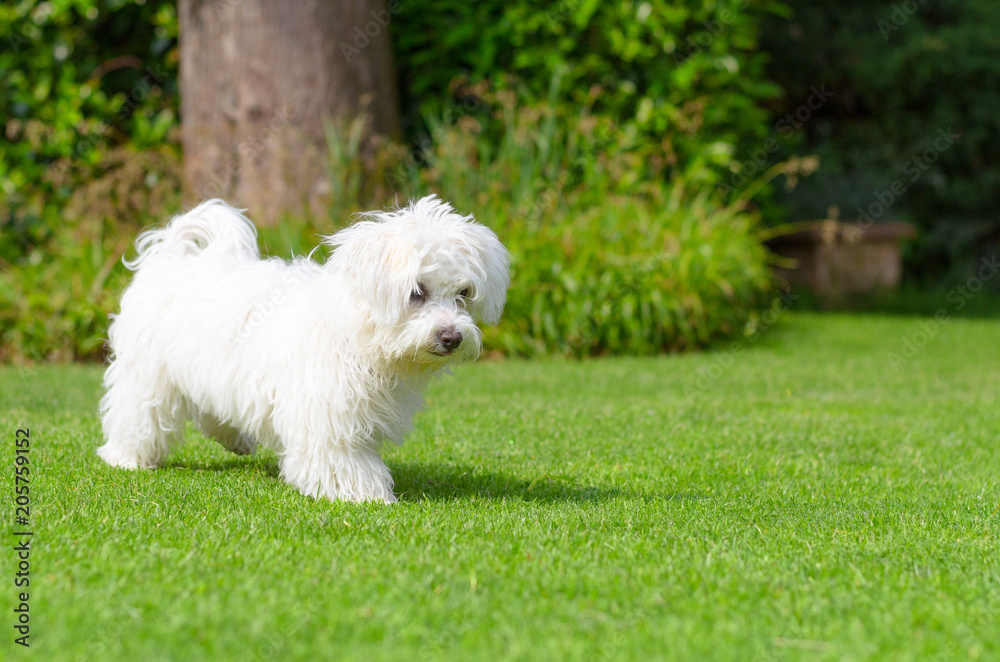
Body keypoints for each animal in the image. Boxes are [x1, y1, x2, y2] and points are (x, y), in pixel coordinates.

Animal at [95, 196, 508, 504]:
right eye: (417, 291)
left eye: (464, 293)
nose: (452, 337)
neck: (359, 332)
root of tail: (171, 257)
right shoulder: (326, 413)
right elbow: (340, 458)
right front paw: (366, 493)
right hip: (147, 375)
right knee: (138, 414)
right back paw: (127, 457)